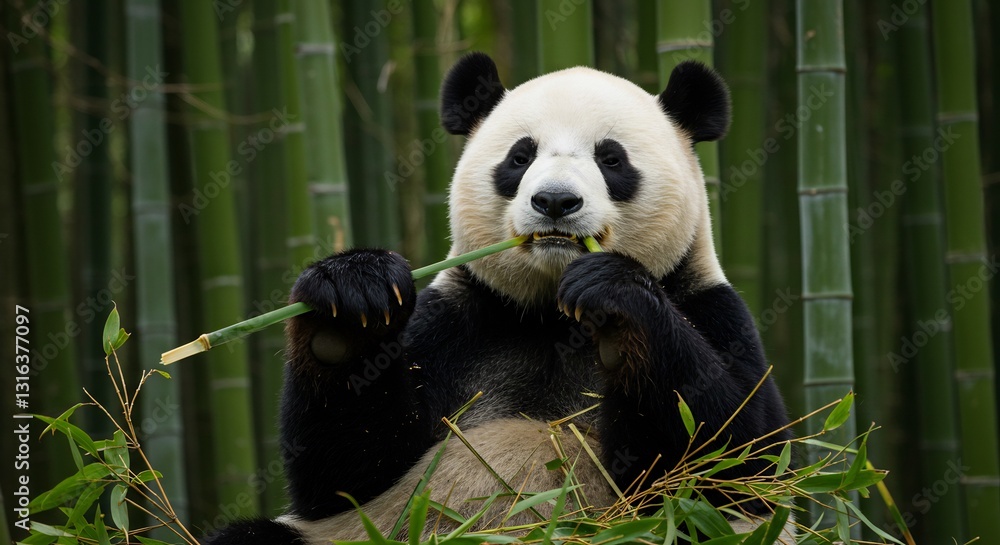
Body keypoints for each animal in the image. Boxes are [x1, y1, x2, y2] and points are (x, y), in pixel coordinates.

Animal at [206, 52, 793, 544]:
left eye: (611, 159)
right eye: (519, 157)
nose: (555, 200)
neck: (552, 316)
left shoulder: (712, 311)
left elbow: (734, 464)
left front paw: (616, 299)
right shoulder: (459, 321)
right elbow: (344, 472)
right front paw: (349, 306)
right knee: (252, 537)